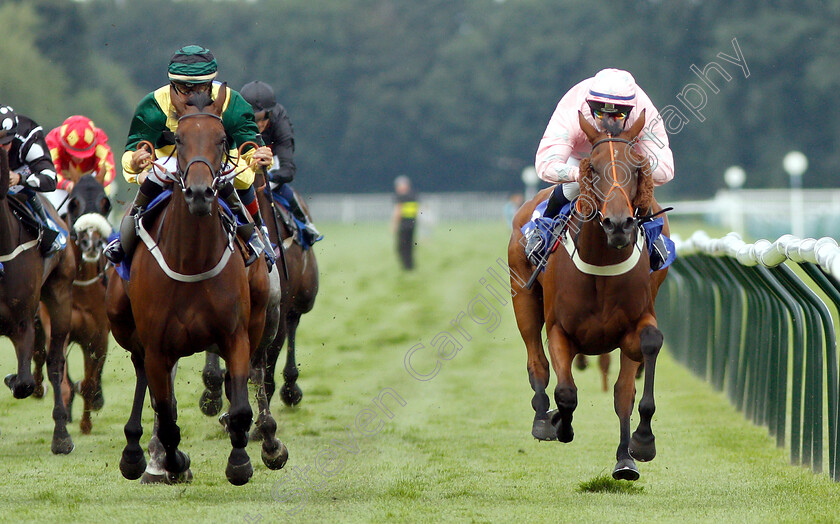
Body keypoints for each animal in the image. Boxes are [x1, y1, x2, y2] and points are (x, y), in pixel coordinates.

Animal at [32, 176, 114, 434]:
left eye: (105, 203)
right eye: (73, 204)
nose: (91, 242)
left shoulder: (99, 335)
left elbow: (90, 381)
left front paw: (86, 423)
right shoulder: (57, 327)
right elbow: (63, 376)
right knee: (38, 354)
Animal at [102, 87, 282, 488]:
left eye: (221, 139)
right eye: (180, 139)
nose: (200, 192)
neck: (192, 260)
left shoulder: (235, 334)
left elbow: (241, 404)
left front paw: (240, 461)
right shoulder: (156, 345)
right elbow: (167, 416)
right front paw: (171, 462)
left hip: (259, 318)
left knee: (254, 374)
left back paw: (268, 442)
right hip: (125, 325)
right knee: (144, 379)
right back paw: (136, 453)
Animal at [199, 170, 318, 436]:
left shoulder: (276, 308)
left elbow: (266, 367)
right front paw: (215, 397)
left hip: (304, 296)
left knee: (293, 323)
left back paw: (291, 388)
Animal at [512, 111, 668, 484]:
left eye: (637, 168)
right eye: (593, 168)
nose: (618, 224)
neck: (601, 264)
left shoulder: (635, 324)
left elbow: (636, 373)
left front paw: (640, 444)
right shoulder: (560, 329)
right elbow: (566, 392)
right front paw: (559, 424)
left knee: (622, 390)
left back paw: (625, 457)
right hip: (522, 296)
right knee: (536, 361)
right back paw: (543, 419)